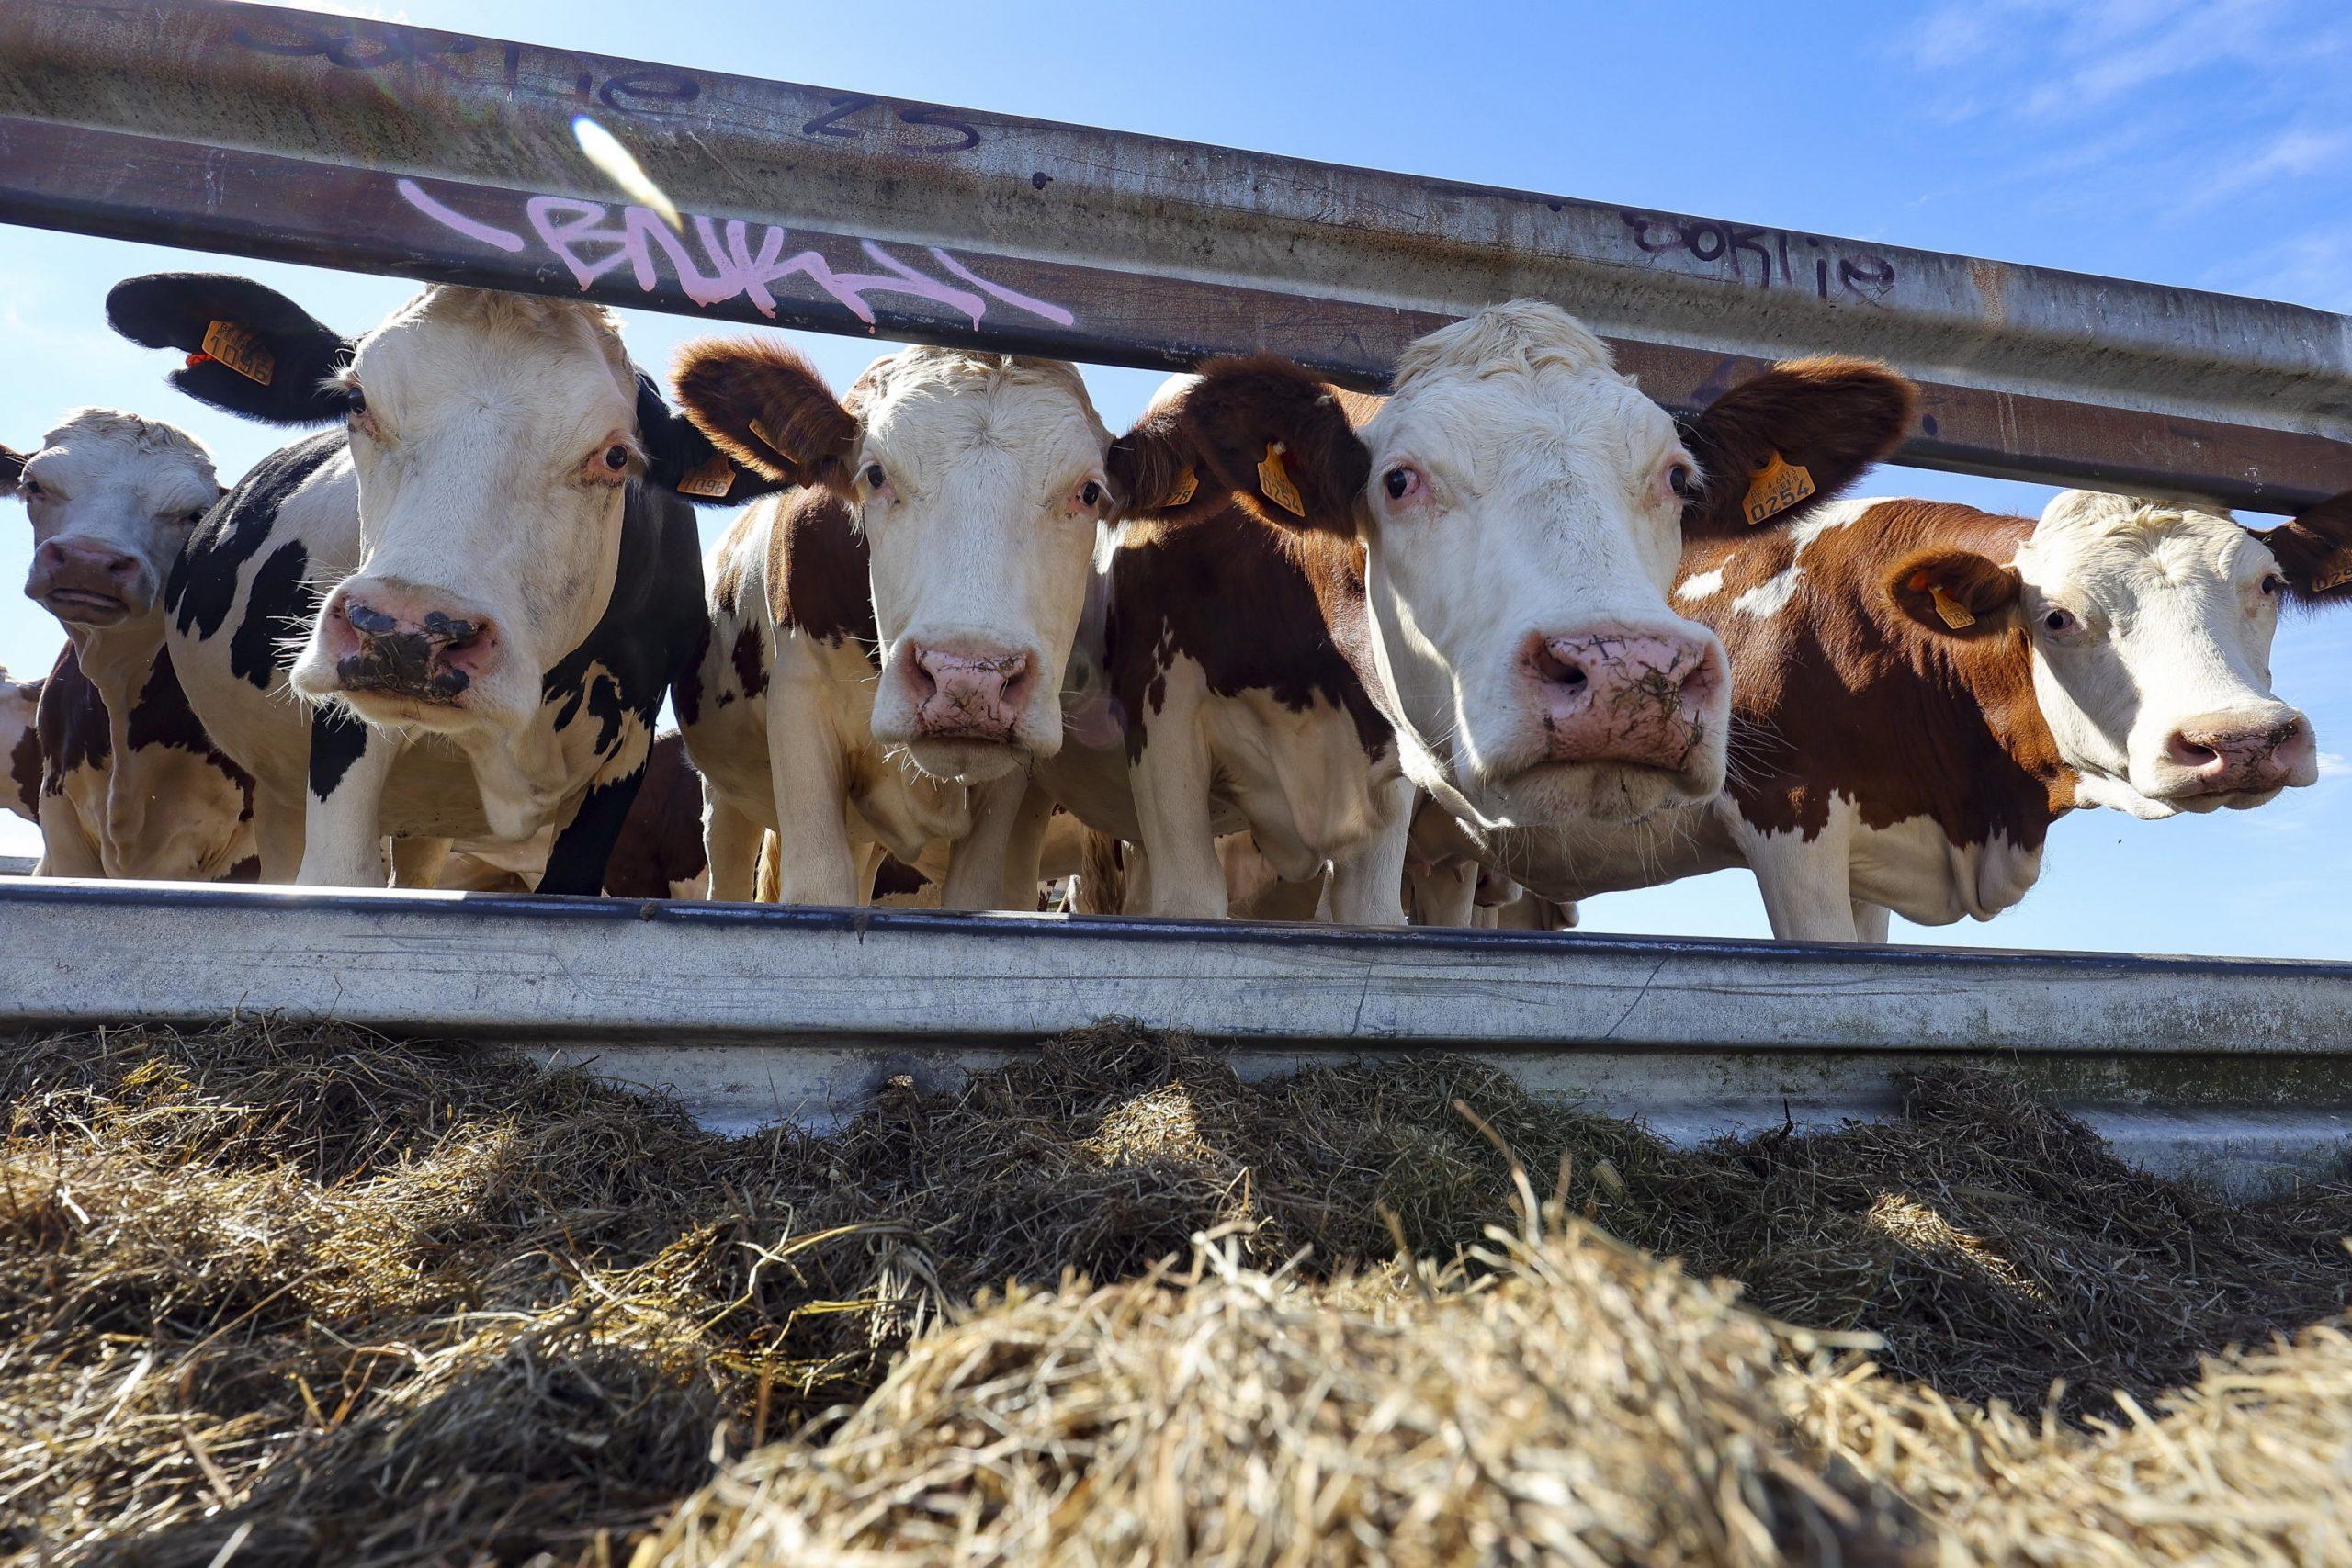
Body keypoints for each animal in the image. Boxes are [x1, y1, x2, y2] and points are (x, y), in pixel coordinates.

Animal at [106, 267, 775, 884]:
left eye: (616, 456)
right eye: (357, 403)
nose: (404, 634)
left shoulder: (625, 755)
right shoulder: (345, 738)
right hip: (278, 793)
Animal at [662, 343, 1101, 907]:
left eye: (1090, 492)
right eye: (874, 474)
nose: (969, 681)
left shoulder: (1013, 778)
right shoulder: (799, 703)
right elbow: (819, 890)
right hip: (724, 797)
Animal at [1025, 297, 1909, 921]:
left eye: (1679, 479)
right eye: (1399, 479)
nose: (1627, 672)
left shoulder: (1384, 782)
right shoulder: (1164, 725)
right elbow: (1187, 903)